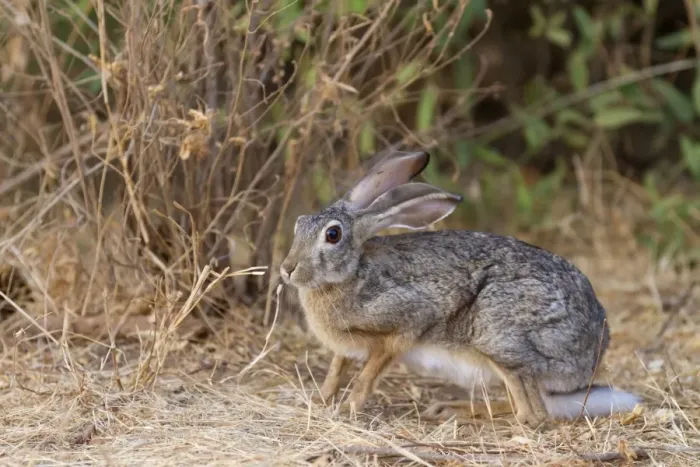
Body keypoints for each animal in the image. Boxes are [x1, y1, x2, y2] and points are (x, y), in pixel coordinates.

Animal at [279, 150, 641, 427]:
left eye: (333, 235)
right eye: (299, 223)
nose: (287, 268)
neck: (352, 272)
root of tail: (593, 351)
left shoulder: (403, 325)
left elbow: (368, 374)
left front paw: (348, 409)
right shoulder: (344, 349)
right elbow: (335, 371)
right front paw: (319, 400)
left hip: (498, 338)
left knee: (535, 415)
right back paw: (450, 409)